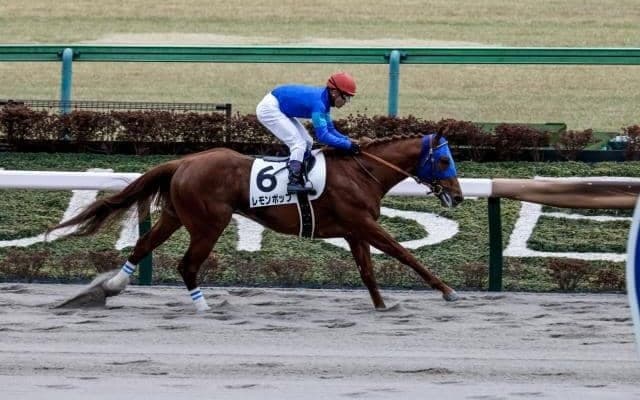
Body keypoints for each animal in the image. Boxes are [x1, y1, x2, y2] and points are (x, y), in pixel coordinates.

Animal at [48, 131, 464, 311]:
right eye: (444, 160)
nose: (458, 196)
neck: (362, 172)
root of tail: (182, 161)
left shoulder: (353, 230)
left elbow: (367, 271)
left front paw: (382, 307)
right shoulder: (364, 224)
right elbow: (405, 255)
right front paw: (447, 290)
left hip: (176, 216)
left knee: (143, 244)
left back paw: (110, 287)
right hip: (208, 224)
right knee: (187, 265)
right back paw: (204, 306)